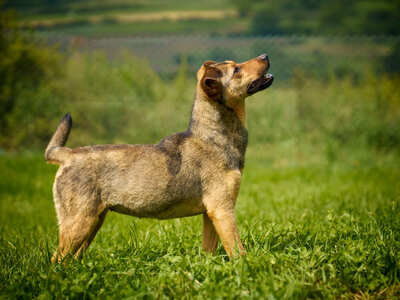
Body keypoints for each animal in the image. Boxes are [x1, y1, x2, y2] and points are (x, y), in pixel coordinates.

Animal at [45, 54, 274, 262]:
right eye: (236, 70)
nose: (265, 55)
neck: (213, 136)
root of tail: (67, 155)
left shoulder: (211, 214)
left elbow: (211, 248)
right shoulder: (222, 210)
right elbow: (237, 249)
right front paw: (246, 267)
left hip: (93, 222)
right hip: (79, 222)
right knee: (57, 259)